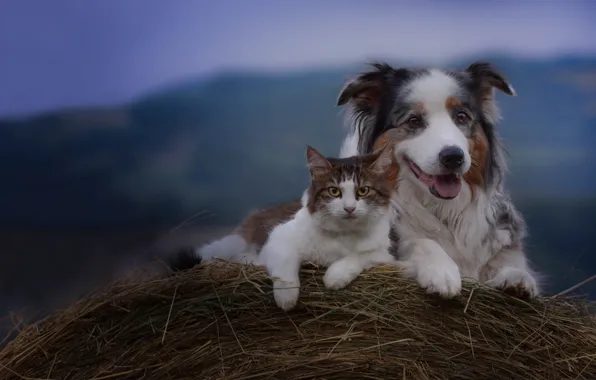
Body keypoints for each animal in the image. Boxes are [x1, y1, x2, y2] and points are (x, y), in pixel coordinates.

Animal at [260, 144, 400, 310]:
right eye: (334, 191)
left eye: (363, 190)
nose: (349, 208)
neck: (344, 232)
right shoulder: (278, 236)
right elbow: (285, 263)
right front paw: (286, 296)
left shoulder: (389, 253)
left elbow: (361, 255)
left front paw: (336, 274)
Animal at [336, 61, 540, 300]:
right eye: (414, 120)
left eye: (461, 116)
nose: (453, 157)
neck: (443, 208)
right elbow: (422, 242)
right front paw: (442, 271)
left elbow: (511, 263)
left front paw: (517, 277)